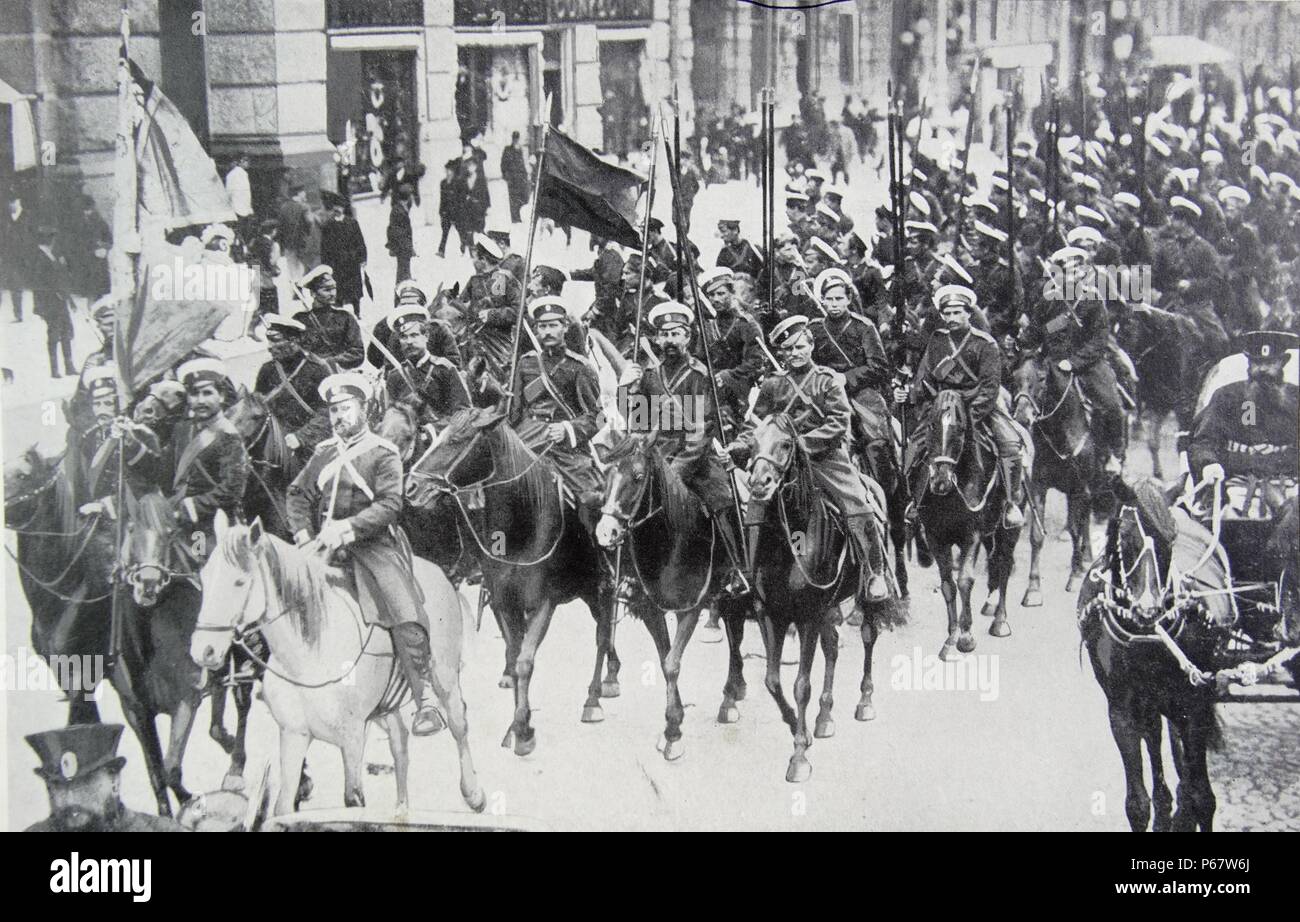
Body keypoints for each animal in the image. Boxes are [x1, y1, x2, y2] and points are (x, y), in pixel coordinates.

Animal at [187, 514, 483, 816]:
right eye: (204, 578)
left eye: (239, 582)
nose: (203, 650)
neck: (306, 658)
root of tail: (438, 573)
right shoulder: (293, 735)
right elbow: (283, 807)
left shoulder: (352, 738)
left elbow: (352, 800)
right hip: (384, 708)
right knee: (399, 741)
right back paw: (401, 810)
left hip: (445, 678)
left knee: (458, 724)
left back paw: (473, 793)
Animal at [410, 405, 618, 754]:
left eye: (456, 440)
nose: (411, 488)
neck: (522, 526)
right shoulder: (505, 603)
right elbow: (513, 650)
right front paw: (517, 723)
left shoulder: (542, 604)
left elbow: (525, 661)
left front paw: (522, 729)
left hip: (599, 588)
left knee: (602, 636)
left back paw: (594, 699)